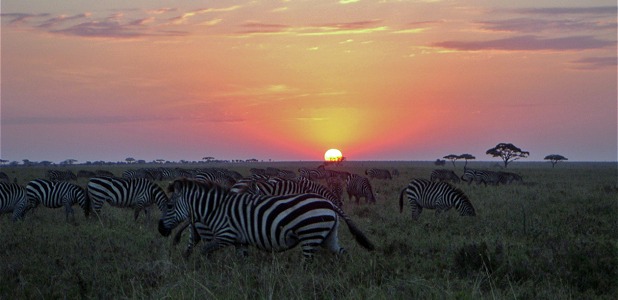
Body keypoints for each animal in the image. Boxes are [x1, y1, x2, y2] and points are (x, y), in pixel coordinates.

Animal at [156, 179, 372, 258]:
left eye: (169, 206)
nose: (160, 229)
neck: (215, 209)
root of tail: (330, 204)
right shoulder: (240, 241)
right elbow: (241, 261)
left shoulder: (225, 235)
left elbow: (205, 251)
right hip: (328, 235)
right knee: (343, 254)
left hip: (310, 235)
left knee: (307, 263)